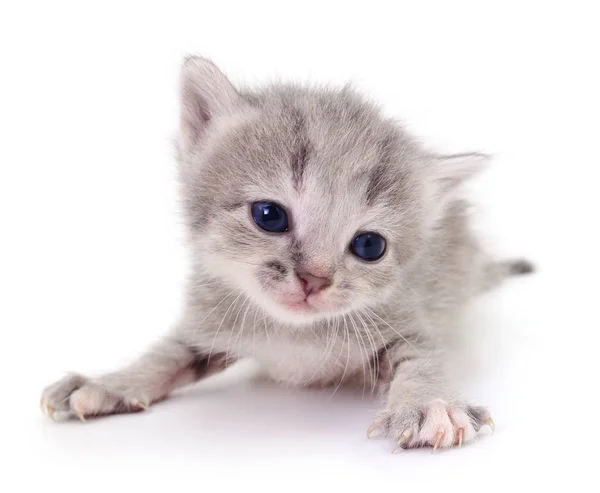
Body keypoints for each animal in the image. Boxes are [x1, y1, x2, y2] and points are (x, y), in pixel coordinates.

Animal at [39, 56, 532, 450]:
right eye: (269, 216)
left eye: (369, 245)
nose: (314, 279)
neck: (296, 336)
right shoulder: (212, 319)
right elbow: (166, 353)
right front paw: (112, 382)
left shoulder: (405, 317)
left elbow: (422, 360)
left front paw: (430, 404)